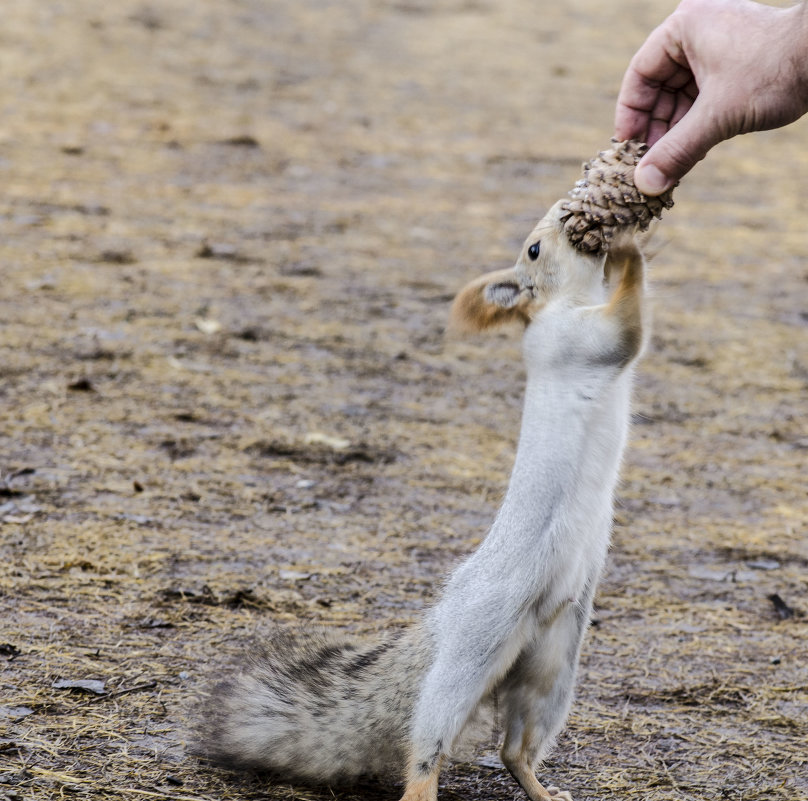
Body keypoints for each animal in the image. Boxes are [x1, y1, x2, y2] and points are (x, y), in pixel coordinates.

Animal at [202, 198, 652, 800]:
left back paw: (541, 789)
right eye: (534, 249)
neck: (567, 301)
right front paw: (630, 246)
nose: (567, 214)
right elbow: (627, 329)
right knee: (429, 736)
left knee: (514, 749)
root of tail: (444, 615)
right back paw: (425, 784)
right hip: (477, 646)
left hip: (552, 666)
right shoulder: (576, 338)